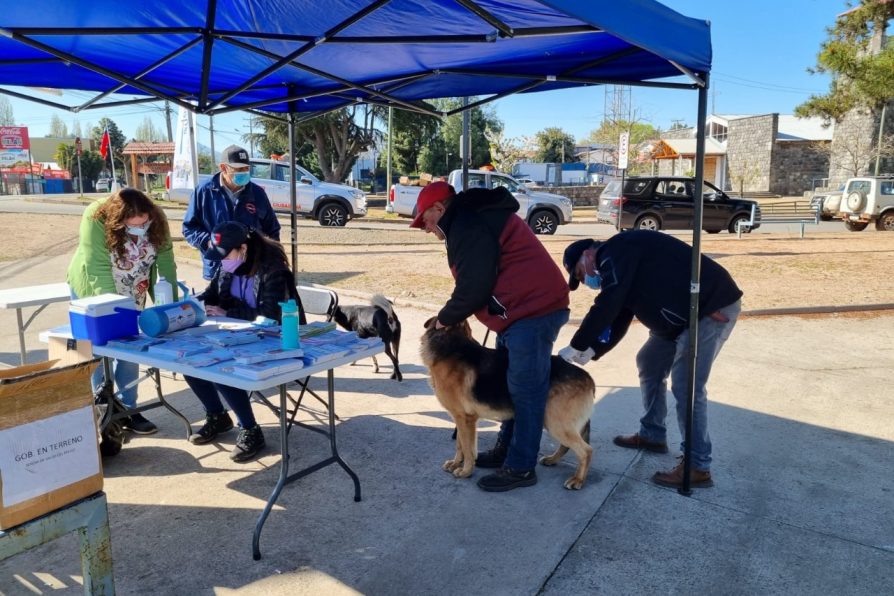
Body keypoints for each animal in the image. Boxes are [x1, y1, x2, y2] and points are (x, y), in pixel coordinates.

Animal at [420, 316, 596, 488]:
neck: (451, 345)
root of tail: (588, 378)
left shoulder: (464, 419)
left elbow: (466, 447)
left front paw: (465, 471)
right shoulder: (463, 419)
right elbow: (461, 444)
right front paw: (457, 463)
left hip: (555, 423)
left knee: (586, 450)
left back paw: (578, 480)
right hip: (556, 423)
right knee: (568, 446)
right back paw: (552, 460)